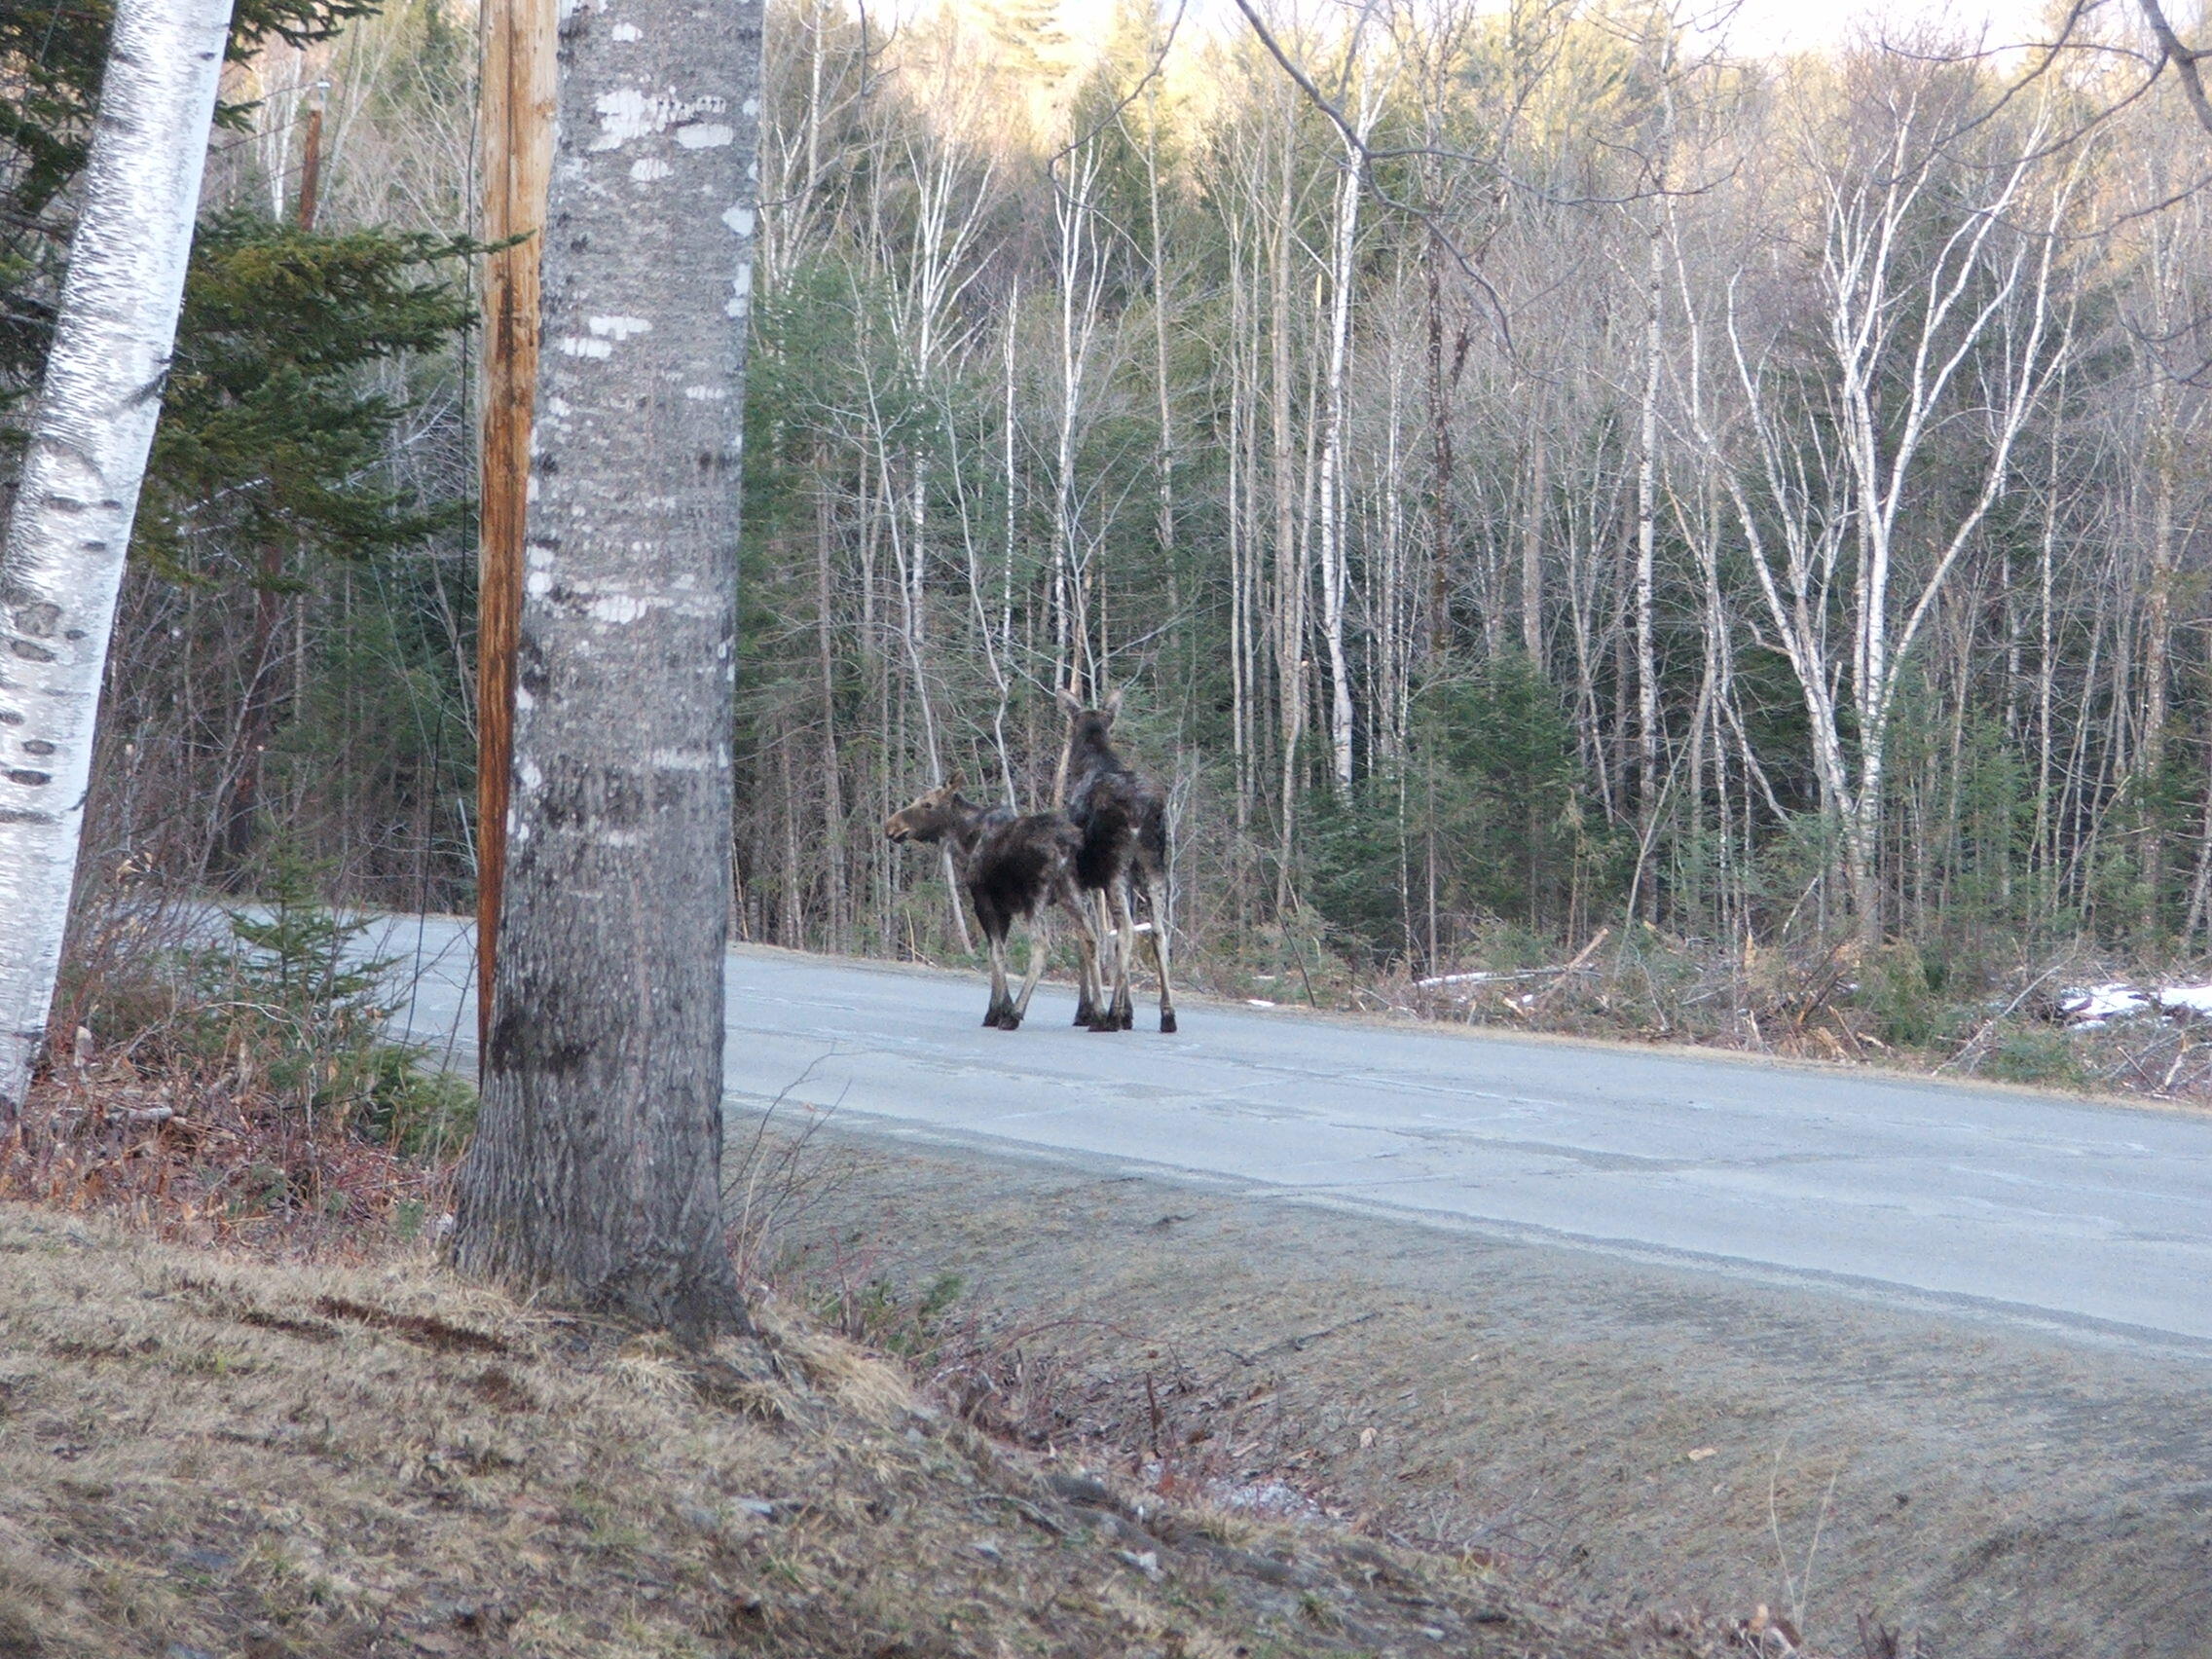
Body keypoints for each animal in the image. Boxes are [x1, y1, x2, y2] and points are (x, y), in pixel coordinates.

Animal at [884, 777, 1106, 1031]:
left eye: (928, 804)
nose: (891, 826)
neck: (965, 839)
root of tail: (1069, 843)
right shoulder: (1005, 910)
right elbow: (998, 951)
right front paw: (1000, 1007)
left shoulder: (983, 901)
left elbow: (996, 952)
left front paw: (997, 1011)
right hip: (1071, 892)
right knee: (1090, 939)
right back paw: (1099, 1014)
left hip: (1035, 897)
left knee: (1042, 945)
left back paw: (1016, 1013)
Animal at [1055, 688, 1178, 1033]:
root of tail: (1141, 810)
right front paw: (1130, 1011)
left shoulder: (1081, 877)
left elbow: (1085, 940)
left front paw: (1086, 1011)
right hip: (1154, 866)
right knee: (1158, 930)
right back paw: (1167, 1014)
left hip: (1115, 868)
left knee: (1124, 930)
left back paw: (1111, 1016)